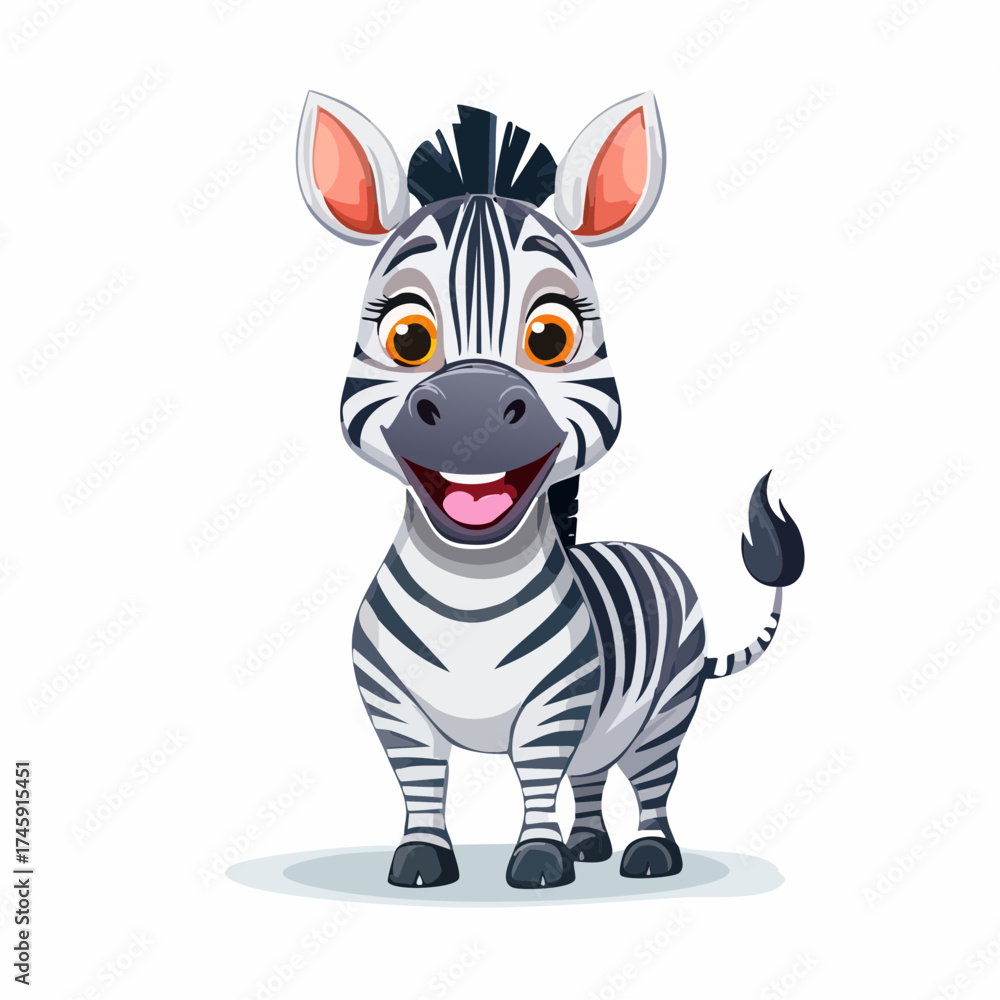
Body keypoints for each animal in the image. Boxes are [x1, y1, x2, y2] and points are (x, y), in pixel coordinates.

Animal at [295, 91, 804, 890]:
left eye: (550, 337)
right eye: (408, 337)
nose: (471, 407)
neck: (470, 592)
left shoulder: (557, 704)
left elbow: (536, 777)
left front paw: (538, 861)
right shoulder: (394, 706)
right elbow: (422, 784)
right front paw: (422, 860)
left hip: (665, 708)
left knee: (653, 781)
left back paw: (647, 857)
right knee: (592, 778)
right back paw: (590, 845)